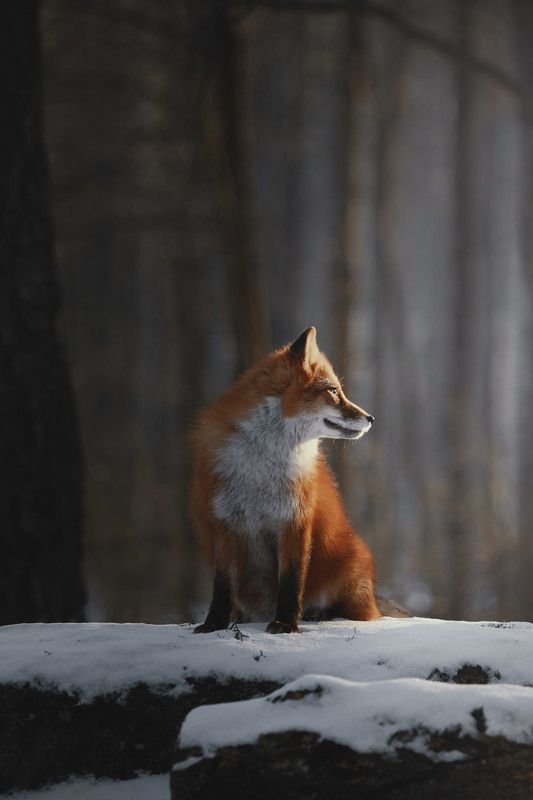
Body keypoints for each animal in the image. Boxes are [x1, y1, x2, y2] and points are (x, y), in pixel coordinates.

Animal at [190, 326, 382, 634]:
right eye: (333, 391)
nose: (371, 418)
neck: (262, 466)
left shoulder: (295, 519)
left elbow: (291, 582)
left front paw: (285, 623)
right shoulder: (226, 523)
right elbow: (222, 586)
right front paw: (214, 624)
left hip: (350, 568)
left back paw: (317, 613)